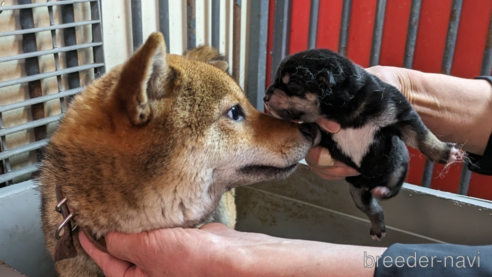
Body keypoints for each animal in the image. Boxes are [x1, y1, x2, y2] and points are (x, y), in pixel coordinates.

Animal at [266, 48, 462, 238]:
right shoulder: (319, 131)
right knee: (372, 208)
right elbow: (310, 134)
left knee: (393, 190)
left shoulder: (398, 111)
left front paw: (446, 153)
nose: (265, 96)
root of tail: (372, 184)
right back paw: (377, 227)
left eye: (293, 85)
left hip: (398, 169)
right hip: (358, 192)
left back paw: (382, 191)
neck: (342, 114)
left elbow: (422, 135)